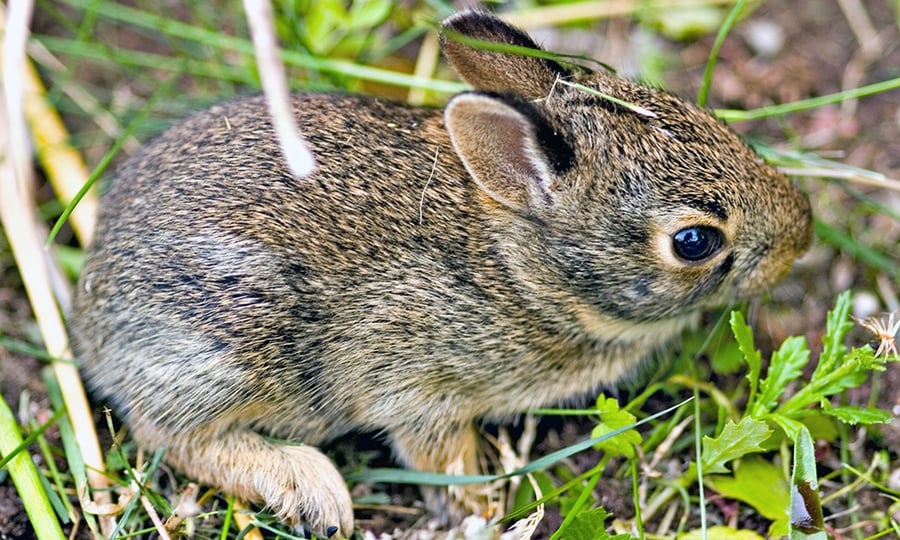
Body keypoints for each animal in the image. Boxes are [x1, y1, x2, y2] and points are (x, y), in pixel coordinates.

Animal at [69, 10, 813, 538]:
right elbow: (436, 450)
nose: (800, 234)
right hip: (229, 347)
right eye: (694, 242)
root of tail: (92, 319)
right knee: (170, 436)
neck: (521, 268)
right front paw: (484, 500)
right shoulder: (416, 378)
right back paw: (315, 492)